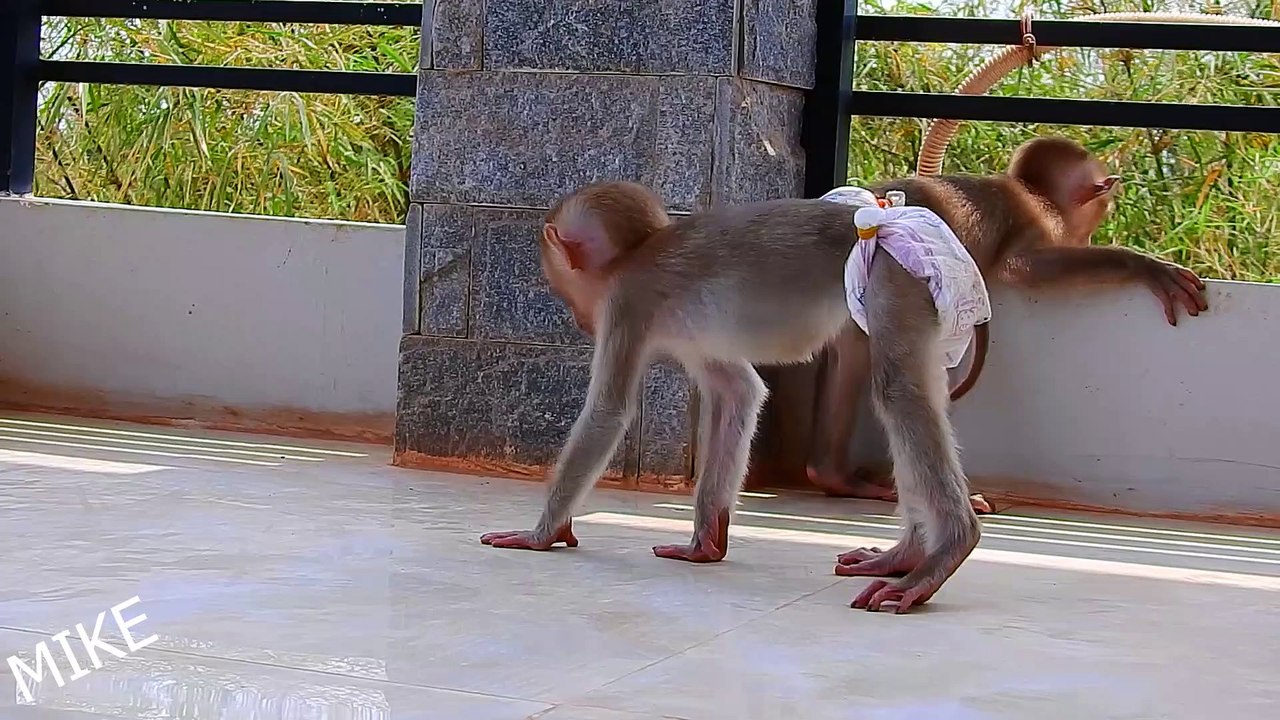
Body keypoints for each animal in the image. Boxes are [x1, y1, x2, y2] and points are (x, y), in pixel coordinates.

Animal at [804, 137, 1209, 517]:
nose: (1089, 237)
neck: (1033, 193)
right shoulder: (1042, 221)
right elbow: (1021, 266)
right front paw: (1142, 265)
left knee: (851, 358)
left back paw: (832, 476)